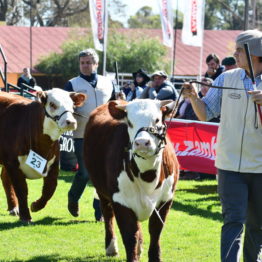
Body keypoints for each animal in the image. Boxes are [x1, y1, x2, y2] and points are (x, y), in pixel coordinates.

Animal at [0, 88, 86, 223]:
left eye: (72, 106)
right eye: (52, 104)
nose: (71, 122)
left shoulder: (54, 163)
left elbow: (50, 188)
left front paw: (35, 206)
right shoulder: (12, 163)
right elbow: (21, 190)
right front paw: (26, 216)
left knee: (4, 177)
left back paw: (13, 207)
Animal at [85, 99, 179, 260]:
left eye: (157, 120)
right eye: (129, 122)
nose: (141, 143)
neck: (148, 177)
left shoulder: (166, 199)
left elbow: (155, 232)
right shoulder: (121, 201)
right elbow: (130, 236)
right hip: (101, 190)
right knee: (107, 214)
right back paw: (111, 247)